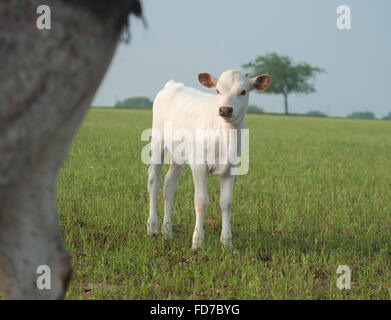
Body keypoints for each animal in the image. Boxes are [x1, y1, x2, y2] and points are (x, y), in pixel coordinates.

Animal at [149, 70, 272, 249]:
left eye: (243, 91)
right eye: (218, 90)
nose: (225, 109)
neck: (225, 135)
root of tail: (172, 84)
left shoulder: (231, 168)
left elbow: (226, 203)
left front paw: (227, 242)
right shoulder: (199, 165)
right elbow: (201, 201)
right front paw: (197, 241)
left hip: (178, 154)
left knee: (169, 185)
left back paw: (167, 231)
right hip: (158, 141)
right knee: (154, 181)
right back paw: (152, 228)